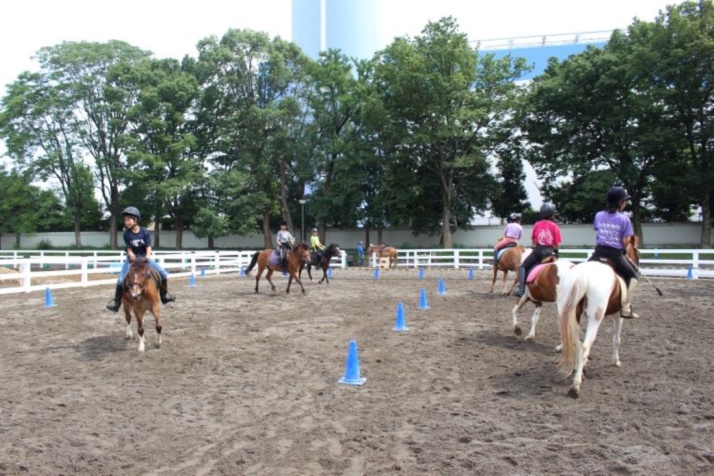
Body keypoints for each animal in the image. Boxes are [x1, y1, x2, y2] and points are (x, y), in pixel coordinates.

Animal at [552, 235, 636, 398]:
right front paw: (615, 361)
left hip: (570, 314)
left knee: (577, 343)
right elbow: (617, 339)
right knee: (585, 346)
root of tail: (581, 276)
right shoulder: (619, 315)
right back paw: (576, 386)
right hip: (595, 318)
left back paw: (581, 371)